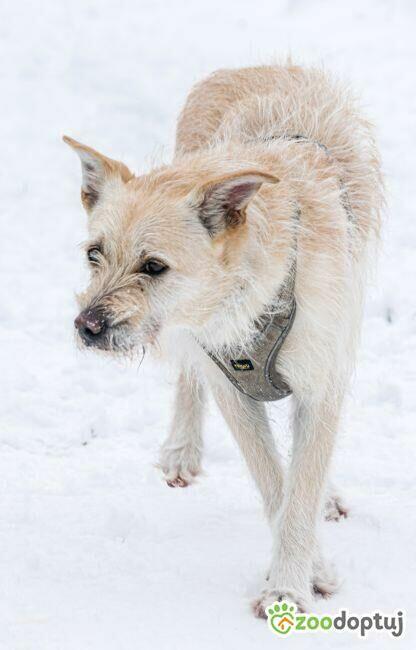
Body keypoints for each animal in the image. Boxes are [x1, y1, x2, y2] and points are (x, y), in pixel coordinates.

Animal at [64, 63, 384, 616]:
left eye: (154, 266)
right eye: (93, 253)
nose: (87, 326)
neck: (252, 294)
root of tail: (257, 66)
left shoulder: (321, 385)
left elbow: (301, 482)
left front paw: (289, 585)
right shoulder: (229, 385)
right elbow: (274, 484)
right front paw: (308, 571)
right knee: (190, 379)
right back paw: (181, 450)